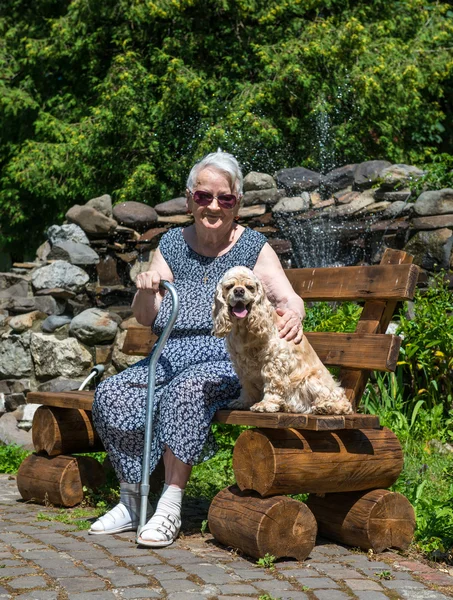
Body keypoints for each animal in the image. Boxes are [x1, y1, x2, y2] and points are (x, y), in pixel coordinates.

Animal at [212, 264, 354, 414]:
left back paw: (326, 407)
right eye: (229, 286)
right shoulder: (240, 363)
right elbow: (247, 385)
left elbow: (273, 384)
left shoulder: (274, 359)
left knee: (339, 399)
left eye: (250, 287)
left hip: (311, 379)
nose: (239, 291)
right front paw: (243, 401)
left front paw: (266, 404)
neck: (243, 329)